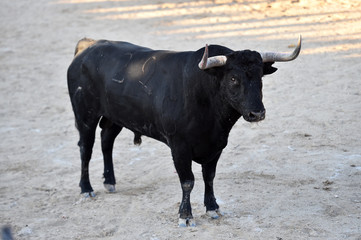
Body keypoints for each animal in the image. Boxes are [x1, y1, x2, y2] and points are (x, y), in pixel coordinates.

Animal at [66, 36, 300, 226]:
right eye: (233, 78)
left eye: (260, 77)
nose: (257, 113)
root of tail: (88, 46)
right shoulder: (179, 147)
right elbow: (187, 181)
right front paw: (185, 216)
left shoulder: (217, 146)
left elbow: (209, 176)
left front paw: (213, 208)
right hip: (85, 115)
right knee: (86, 148)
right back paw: (86, 189)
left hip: (115, 116)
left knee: (107, 141)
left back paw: (110, 182)